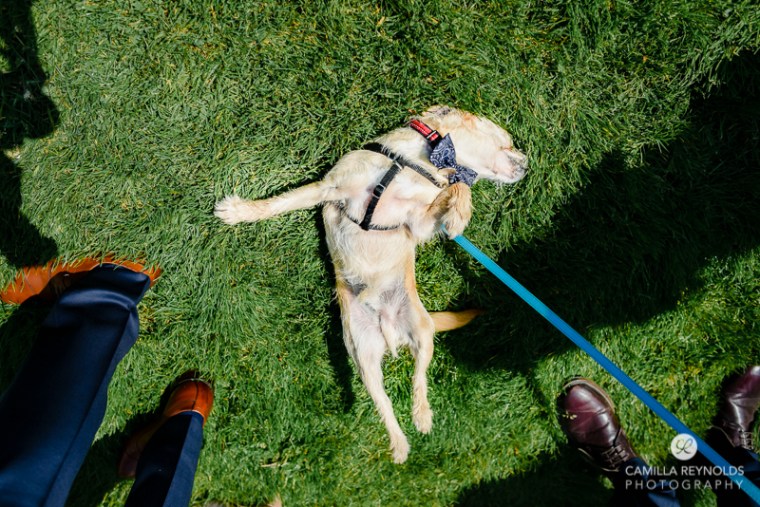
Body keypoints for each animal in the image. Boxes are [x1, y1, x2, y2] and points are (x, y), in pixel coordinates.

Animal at [215, 106, 527, 463]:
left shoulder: (416, 223)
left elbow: (460, 190)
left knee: (419, 377)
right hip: (362, 353)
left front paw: (459, 215)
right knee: (385, 404)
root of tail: (390, 331)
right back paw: (400, 444)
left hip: (421, 333)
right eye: (508, 142)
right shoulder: (331, 188)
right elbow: (278, 204)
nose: (528, 163)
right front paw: (240, 212)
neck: (417, 160)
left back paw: (421, 414)